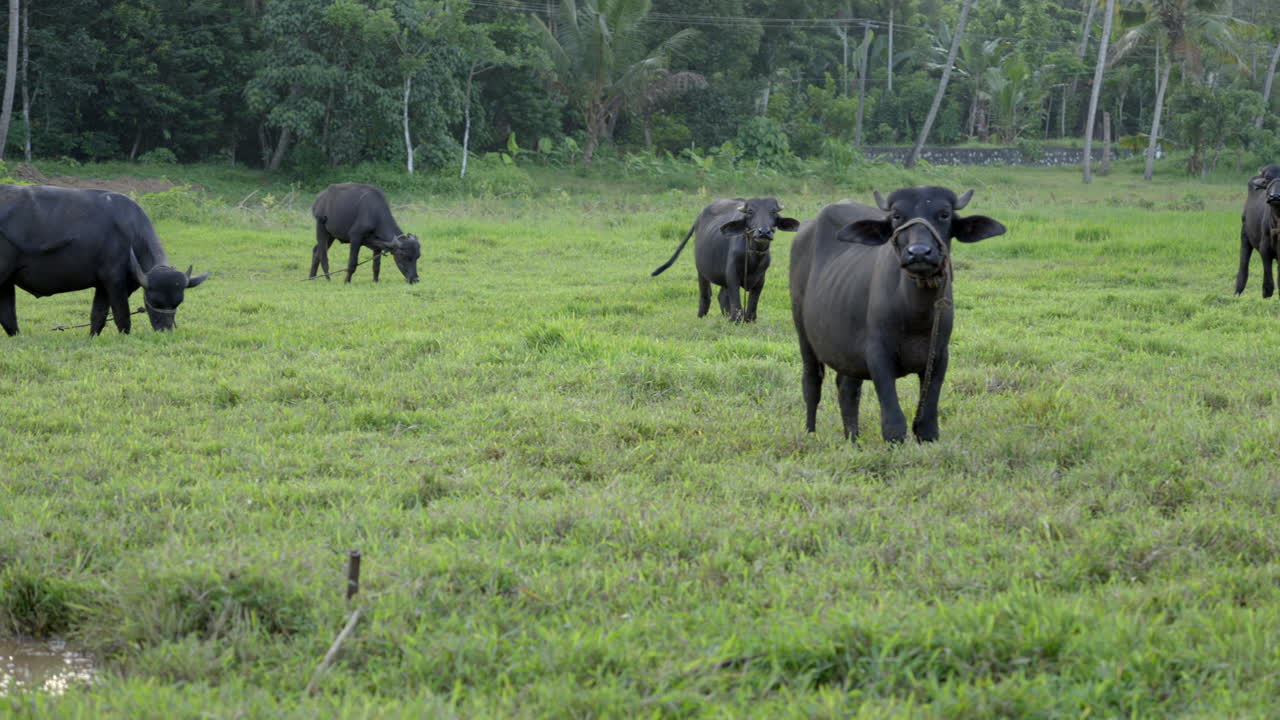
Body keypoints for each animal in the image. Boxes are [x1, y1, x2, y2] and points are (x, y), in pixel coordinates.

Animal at [0, 184, 209, 336]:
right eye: (155, 301)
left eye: (177, 303)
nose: (165, 330)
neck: (130, 234)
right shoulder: (115, 281)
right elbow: (122, 316)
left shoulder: (102, 285)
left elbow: (98, 316)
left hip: (7, 281)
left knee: (8, 314)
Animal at [651, 197, 799, 322]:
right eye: (750, 211)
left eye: (773, 211)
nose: (764, 232)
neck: (752, 257)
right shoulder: (732, 275)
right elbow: (736, 302)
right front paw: (736, 320)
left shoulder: (760, 279)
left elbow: (752, 304)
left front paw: (748, 320)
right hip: (701, 271)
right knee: (705, 296)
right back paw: (702, 316)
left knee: (721, 296)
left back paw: (726, 317)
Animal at [789, 186, 1005, 443]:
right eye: (897, 216)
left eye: (944, 214)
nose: (919, 253)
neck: (915, 314)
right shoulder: (878, 356)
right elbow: (894, 422)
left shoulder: (939, 356)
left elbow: (927, 424)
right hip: (803, 332)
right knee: (812, 382)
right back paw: (810, 433)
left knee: (847, 388)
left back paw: (853, 440)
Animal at [1237, 165, 1280, 298]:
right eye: (1267, 180)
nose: (1274, 197)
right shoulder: (1264, 249)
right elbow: (1268, 285)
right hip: (1244, 235)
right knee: (1243, 266)